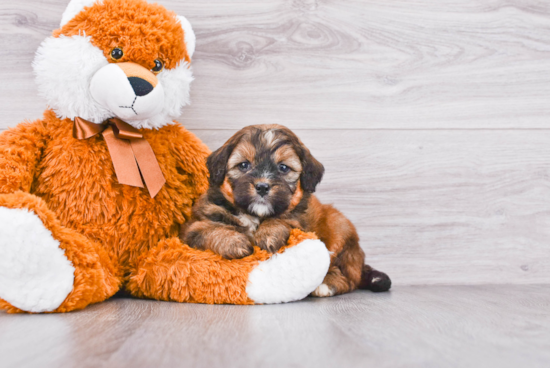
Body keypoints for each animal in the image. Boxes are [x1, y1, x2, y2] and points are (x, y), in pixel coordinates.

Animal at [182, 126, 392, 296]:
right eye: (244, 165)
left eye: (283, 168)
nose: (262, 187)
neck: (255, 215)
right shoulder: (195, 225)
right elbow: (212, 229)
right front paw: (234, 243)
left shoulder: (299, 220)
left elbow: (282, 218)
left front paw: (268, 234)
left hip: (339, 228)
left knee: (348, 277)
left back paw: (325, 285)